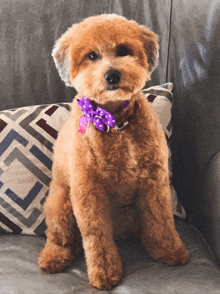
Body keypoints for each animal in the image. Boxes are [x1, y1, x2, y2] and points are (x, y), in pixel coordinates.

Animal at [38, 13, 189, 290]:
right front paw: (105, 273)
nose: (112, 75)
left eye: (123, 51)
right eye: (91, 56)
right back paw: (53, 257)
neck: (115, 122)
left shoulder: (154, 180)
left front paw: (170, 251)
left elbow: (161, 218)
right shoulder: (88, 191)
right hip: (60, 203)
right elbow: (96, 236)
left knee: (145, 226)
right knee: (59, 238)